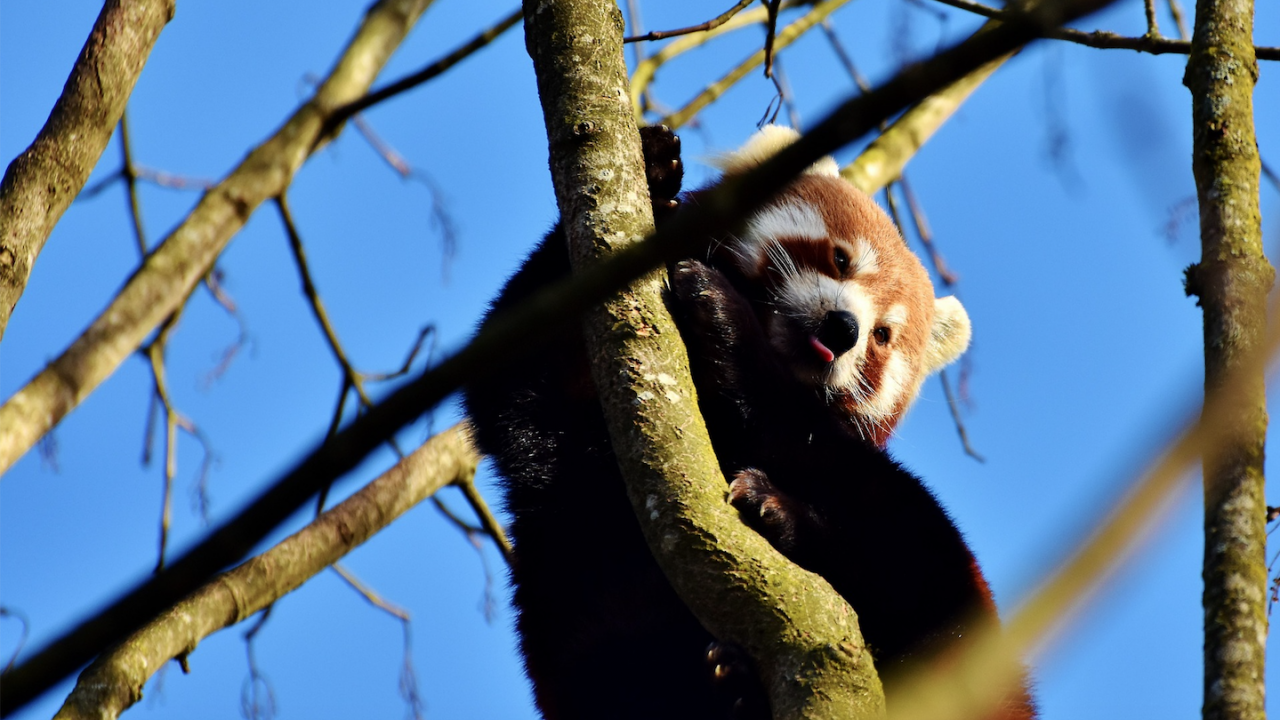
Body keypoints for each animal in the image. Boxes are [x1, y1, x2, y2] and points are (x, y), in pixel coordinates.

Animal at [465, 124, 1034, 717]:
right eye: (840, 259)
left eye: (883, 336)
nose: (844, 329)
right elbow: (516, 369)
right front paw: (651, 163)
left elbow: (788, 421)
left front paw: (728, 327)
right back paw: (731, 685)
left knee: (915, 546)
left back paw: (780, 520)